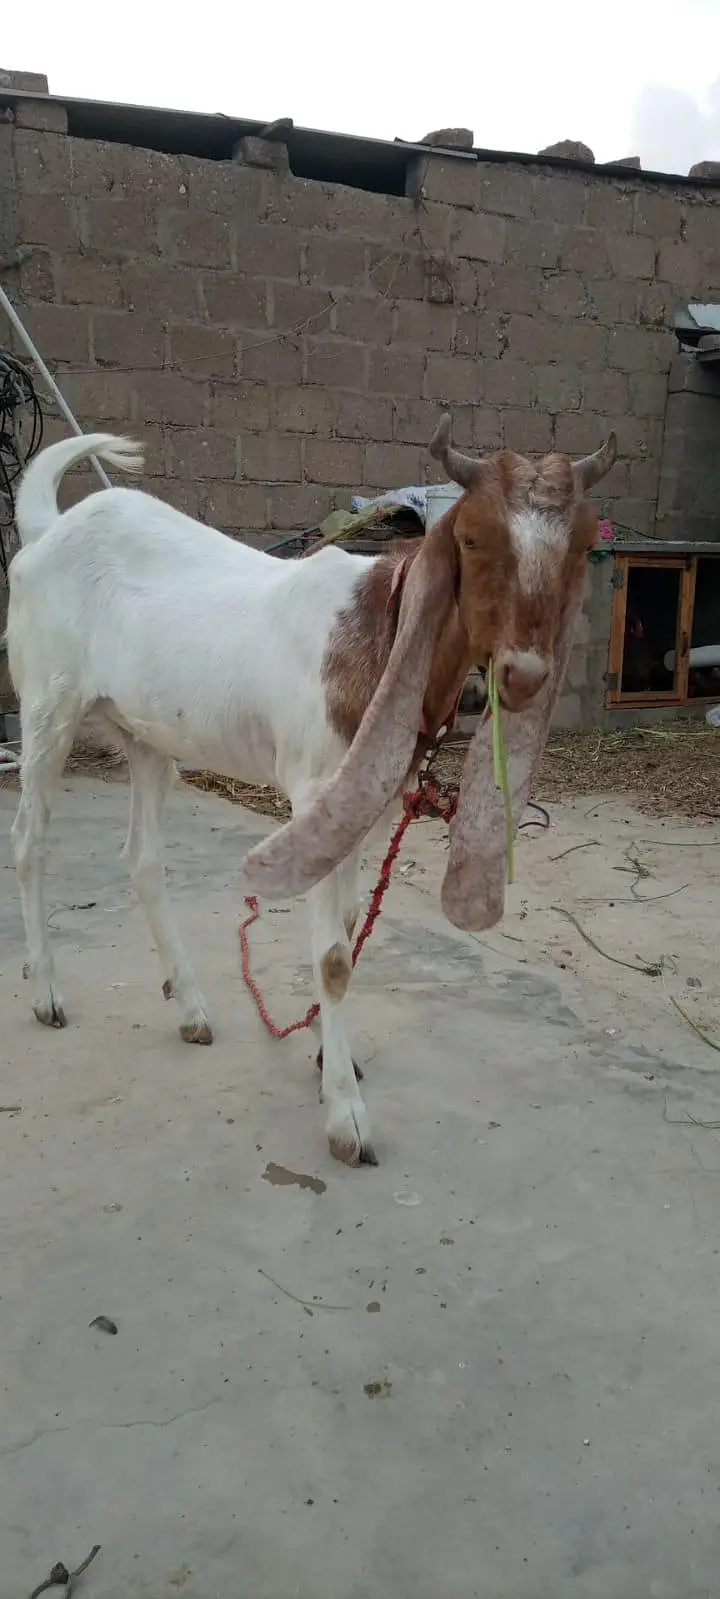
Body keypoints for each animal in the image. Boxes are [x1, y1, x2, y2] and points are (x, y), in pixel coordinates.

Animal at [7, 418, 616, 1166]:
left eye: (581, 544)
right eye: (472, 537)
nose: (525, 674)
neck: (379, 628)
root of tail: (49, 530)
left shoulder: (361, 802)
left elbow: (348, 930)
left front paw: (334, 1059)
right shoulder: (315, 788)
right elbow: (331, 959)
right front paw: (345, 1117)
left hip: (148, 733)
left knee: (142, 860)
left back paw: (191, 1007)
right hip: (48, 702)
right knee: (30, 839)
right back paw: (47, 993)